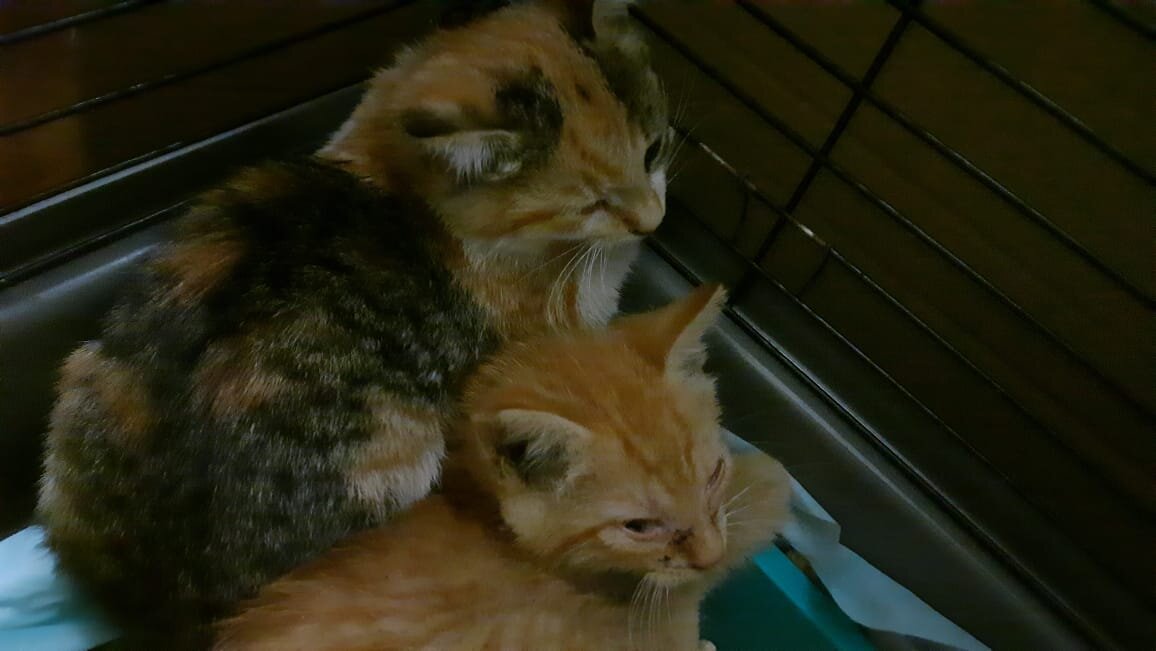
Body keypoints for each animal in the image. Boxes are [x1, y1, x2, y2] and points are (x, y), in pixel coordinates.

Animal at [37, 1, 672, 647]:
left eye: (654, 150)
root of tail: (167, 604)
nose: (652, 222)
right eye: (591, 203)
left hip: (80, 377)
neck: (400, 188)